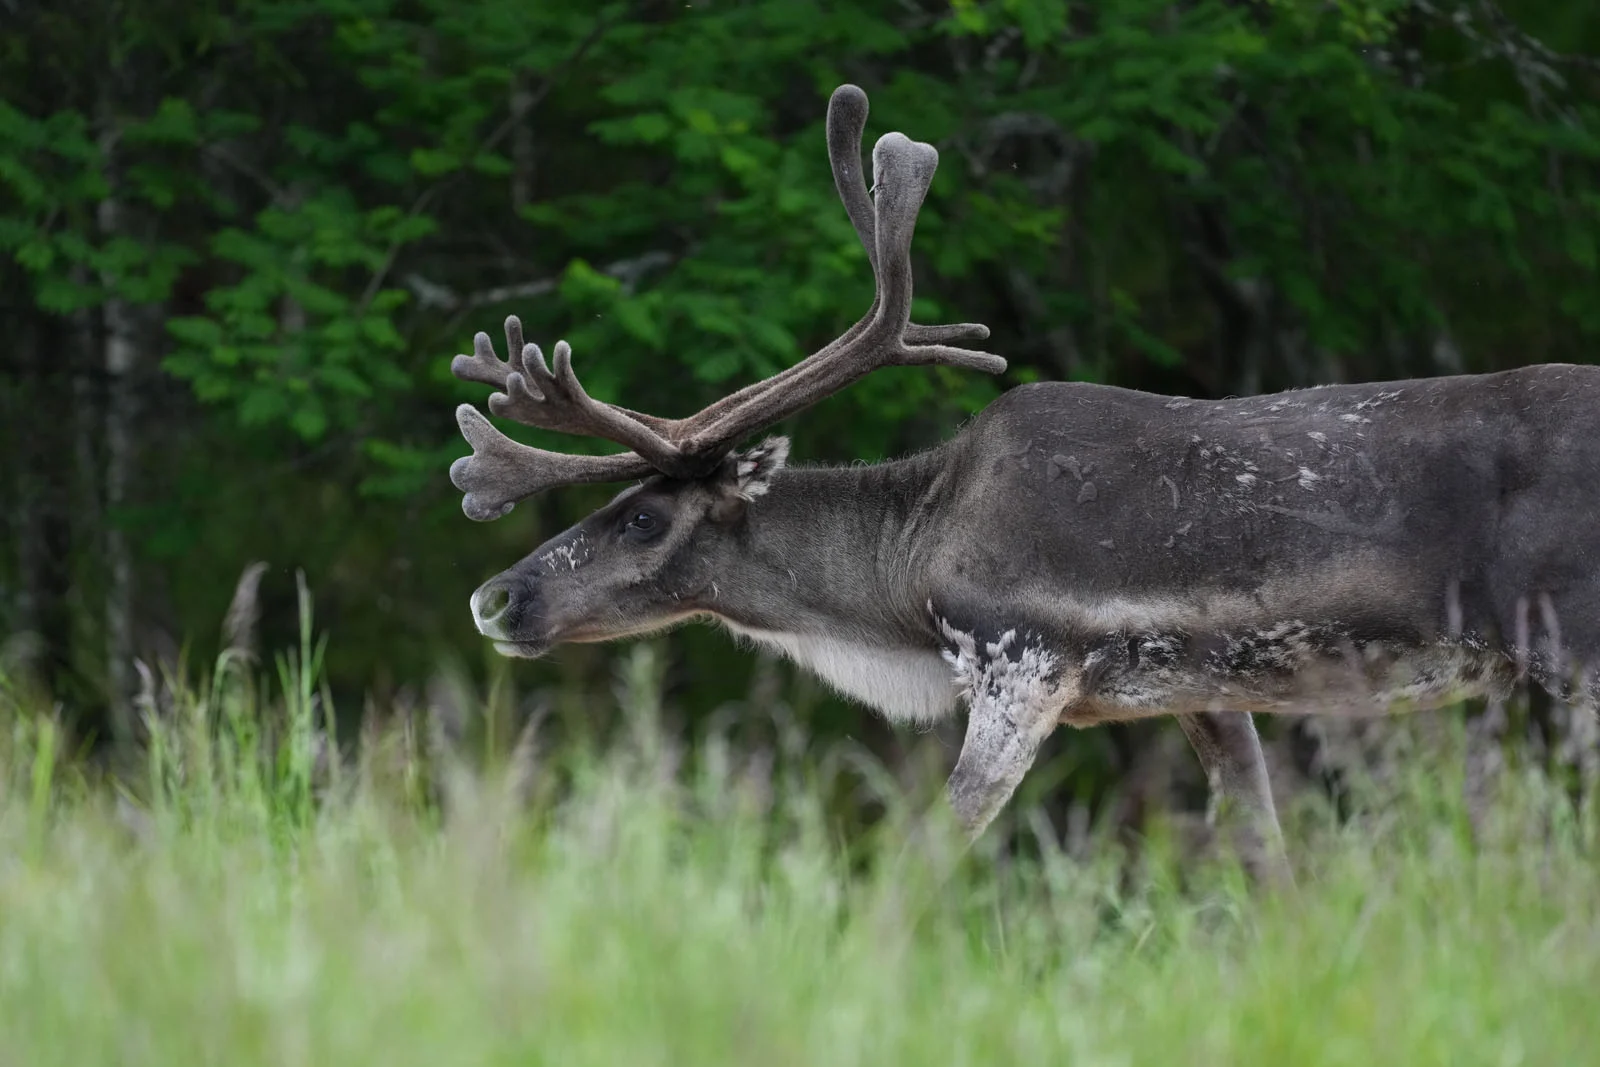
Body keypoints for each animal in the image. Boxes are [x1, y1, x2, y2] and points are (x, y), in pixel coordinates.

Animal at [446, 83, 1600, 883]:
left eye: (645, 516)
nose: (494, 597)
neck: (906, 576)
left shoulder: (1023, 659)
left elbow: (924, 853)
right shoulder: (1202, 690)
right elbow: (1264, 857)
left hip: (1570, 641)